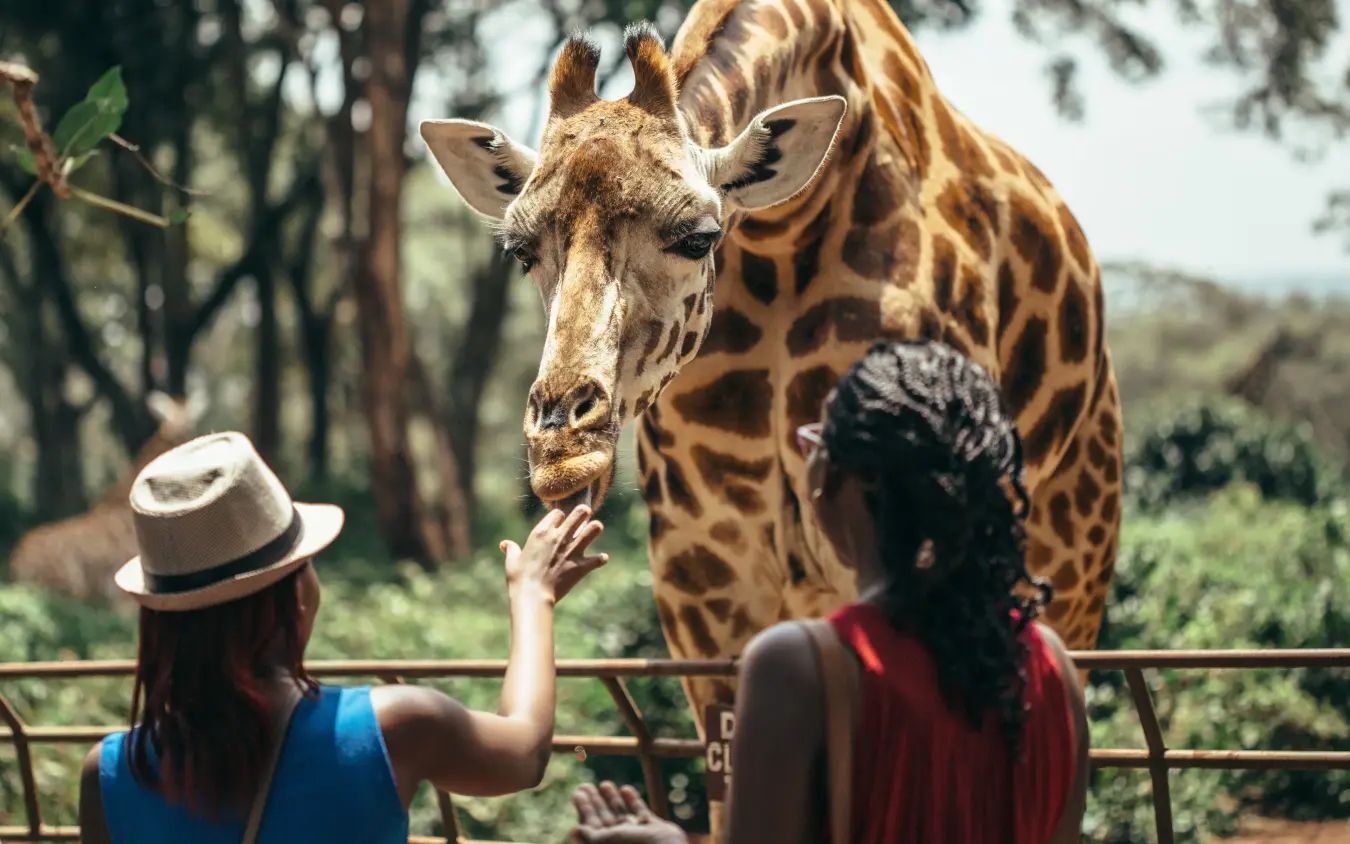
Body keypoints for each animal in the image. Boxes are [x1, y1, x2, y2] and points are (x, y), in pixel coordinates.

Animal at [8, 391, 207, 607]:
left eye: (196, 418)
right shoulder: (124, 598)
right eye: (168, 417)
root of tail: (16, 566)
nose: (184, 435)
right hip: (69, 590)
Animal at [421, 0, 1121, 834]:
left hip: (1073, 561)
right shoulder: (705, 578)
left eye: (698, 237)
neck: (783, 239)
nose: (563, 449)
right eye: (520, 250)